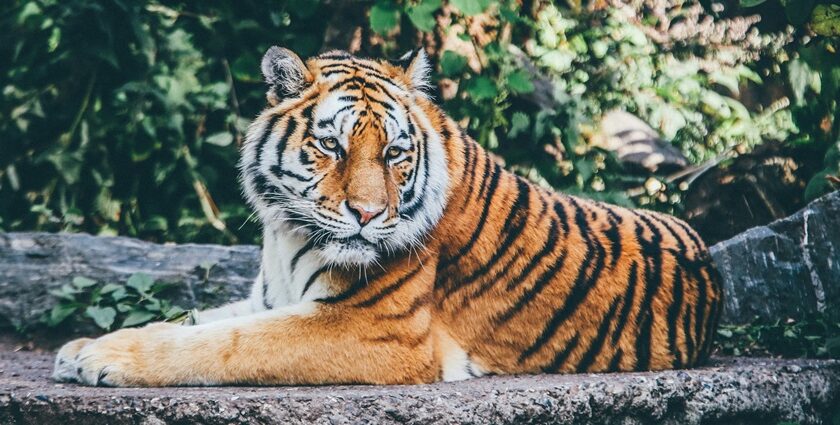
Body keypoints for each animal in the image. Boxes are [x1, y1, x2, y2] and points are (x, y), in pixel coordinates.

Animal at [52, 47, 720, 388]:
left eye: (395, 153)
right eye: (332, 146)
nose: (370, 215)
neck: (285, 233)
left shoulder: (373, 329)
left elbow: (224, 344)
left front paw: (103, 359)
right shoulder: (269, 298)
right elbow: (194, 321)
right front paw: (82, 347)